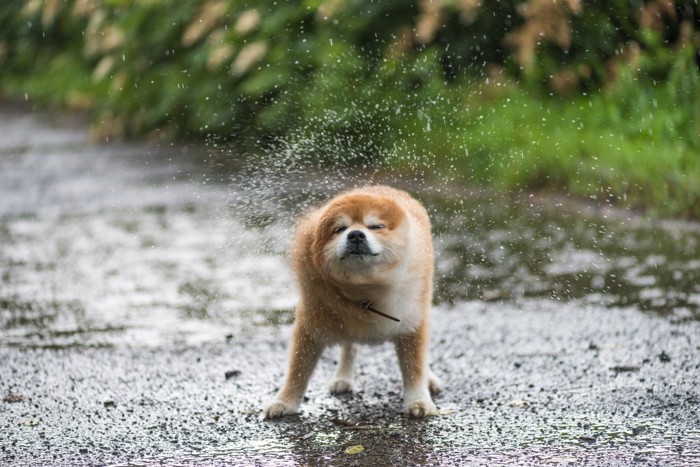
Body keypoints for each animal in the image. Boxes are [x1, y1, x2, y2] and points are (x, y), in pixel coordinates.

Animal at [266, 185, 440, 418]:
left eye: (376, 226)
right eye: (339, 229)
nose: (356, 234)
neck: (364, 291)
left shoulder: (411, 324)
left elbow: (414, 367)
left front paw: (418, 401)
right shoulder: (310, 328)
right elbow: (298, 371)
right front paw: (285, 402)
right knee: (349, 346)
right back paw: (343, 377)